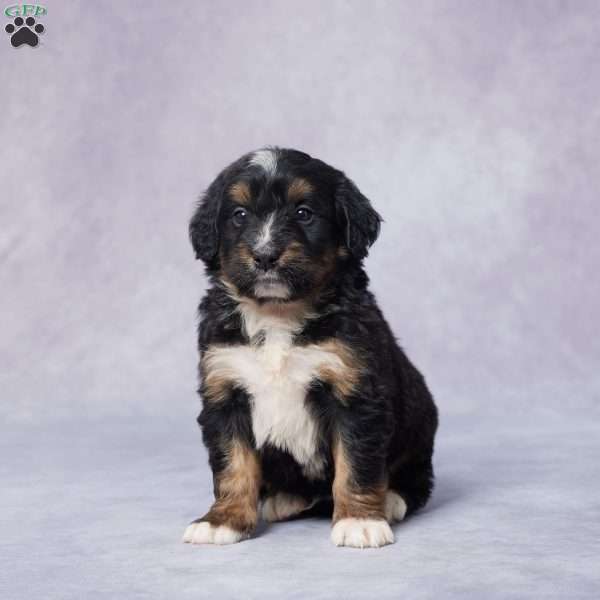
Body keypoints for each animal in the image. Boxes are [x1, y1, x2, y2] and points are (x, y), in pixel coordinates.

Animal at [180, 146, 438, 548]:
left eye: (304, 213)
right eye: (239, 215)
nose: (265, 255)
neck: (278, 315)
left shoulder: (356, 394)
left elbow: (356, 463)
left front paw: (359, 520)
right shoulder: (225, 391)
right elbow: (232, 465)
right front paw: (223, 521)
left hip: (421, 423)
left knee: (417, 478)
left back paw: (392, 499)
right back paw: (282, 500)